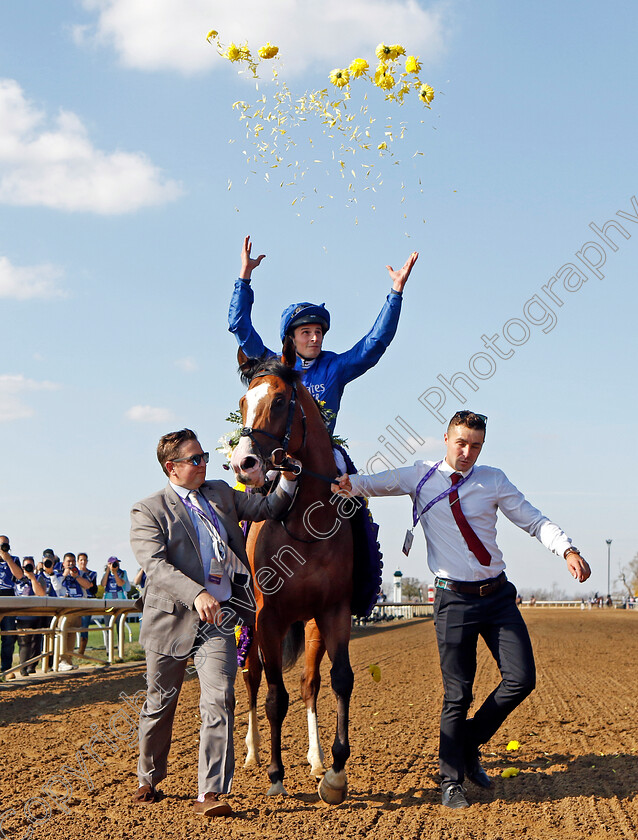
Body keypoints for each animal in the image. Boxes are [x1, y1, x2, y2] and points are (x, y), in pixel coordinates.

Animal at [231, 342, 360, 808]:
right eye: (243, 402)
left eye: (281, 401)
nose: (244, 463)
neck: (306, 523)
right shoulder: (267, 617)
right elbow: (274, 696)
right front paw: (275, 774)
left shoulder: (333, 611)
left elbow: (338, 680)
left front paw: (335, 773)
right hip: (246, 623)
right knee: (250, 679)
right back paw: (251, 753)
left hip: (309, 625)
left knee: (309, 683)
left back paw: (317, 759)